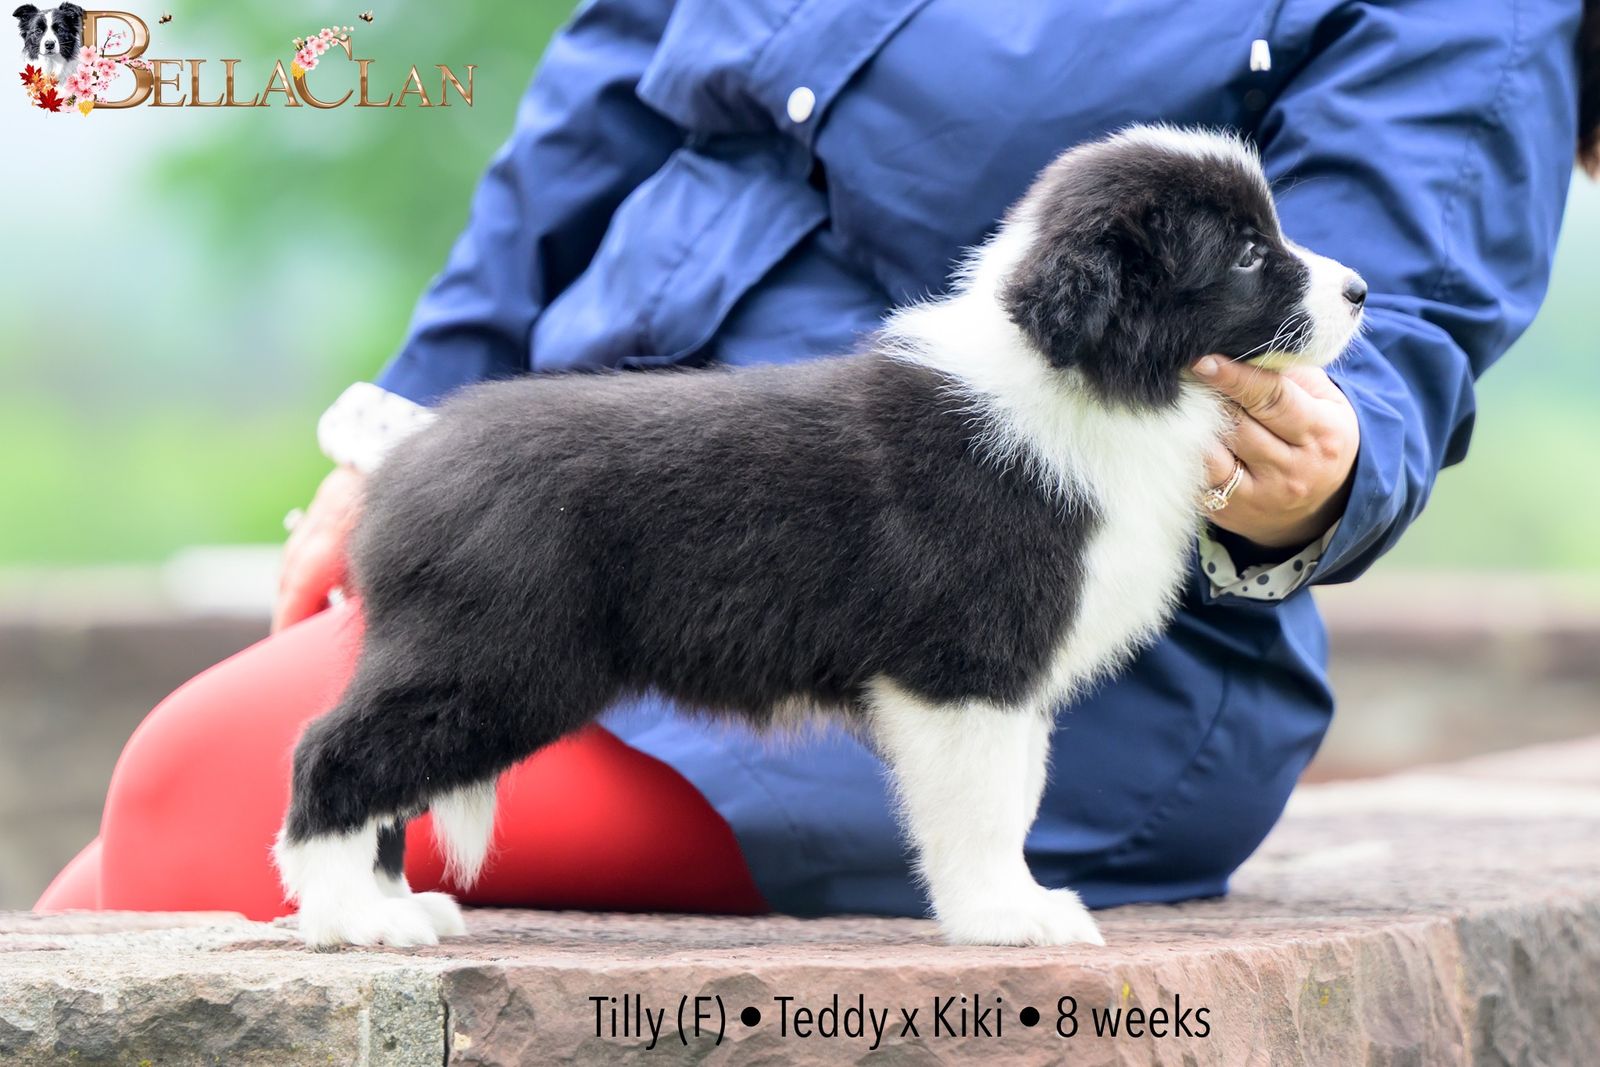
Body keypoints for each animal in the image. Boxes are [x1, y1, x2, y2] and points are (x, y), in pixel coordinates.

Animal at [274, 125, 1366, 949]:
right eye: (1245, 254)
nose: (1360, 291)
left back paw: (392, 904)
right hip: (497, 654)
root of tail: (408, 466)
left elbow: (1018, 794)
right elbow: (982, 804)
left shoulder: (1010, 678)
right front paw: (1006, 917)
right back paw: (351, 918)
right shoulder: (964, 666)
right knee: (332, 750)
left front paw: (1012, 904)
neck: (1085, 378)